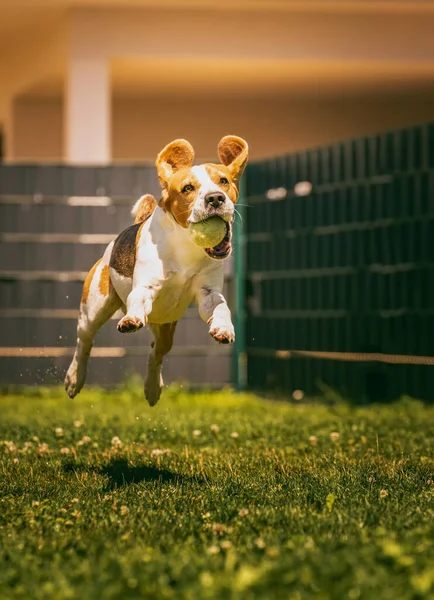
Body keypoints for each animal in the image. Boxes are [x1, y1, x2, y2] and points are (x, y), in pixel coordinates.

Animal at [64, 135, 248, 406]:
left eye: (223, 181)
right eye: (187, 188)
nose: (215, 198)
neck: (185, 244)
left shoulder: (208, 294)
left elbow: (220, 307)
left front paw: (224, 328)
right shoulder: (145, 287)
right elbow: (138, 299)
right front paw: (131, 318)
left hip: (165, 327)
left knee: (156, 353)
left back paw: (152, 388)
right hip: (93, 308)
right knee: (84, 342)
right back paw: (74, 379)